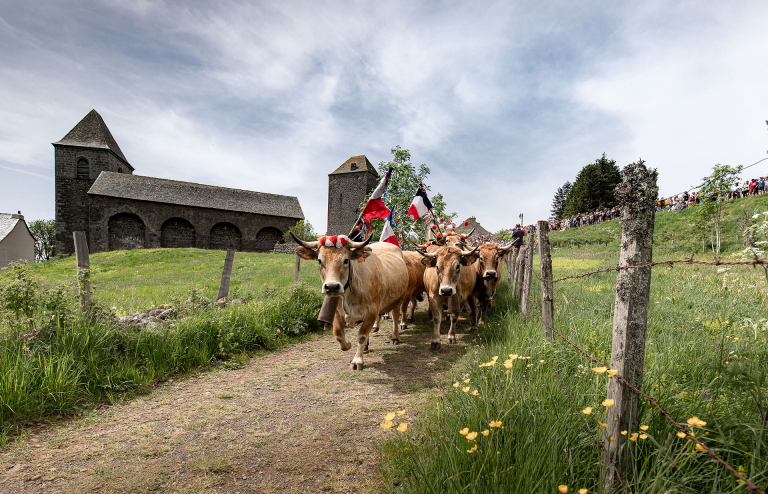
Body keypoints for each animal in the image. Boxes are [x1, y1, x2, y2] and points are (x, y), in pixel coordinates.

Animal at [294, 235, 414, 370]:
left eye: (346, 260)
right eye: (319, 261)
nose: (331, 287)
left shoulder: (372, 311)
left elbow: (361, 335)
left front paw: (357, 360)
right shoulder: (337, 312)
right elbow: (338, 335)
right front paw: (348, 345)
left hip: (398, 299)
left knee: (395, 316)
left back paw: (395, 337)